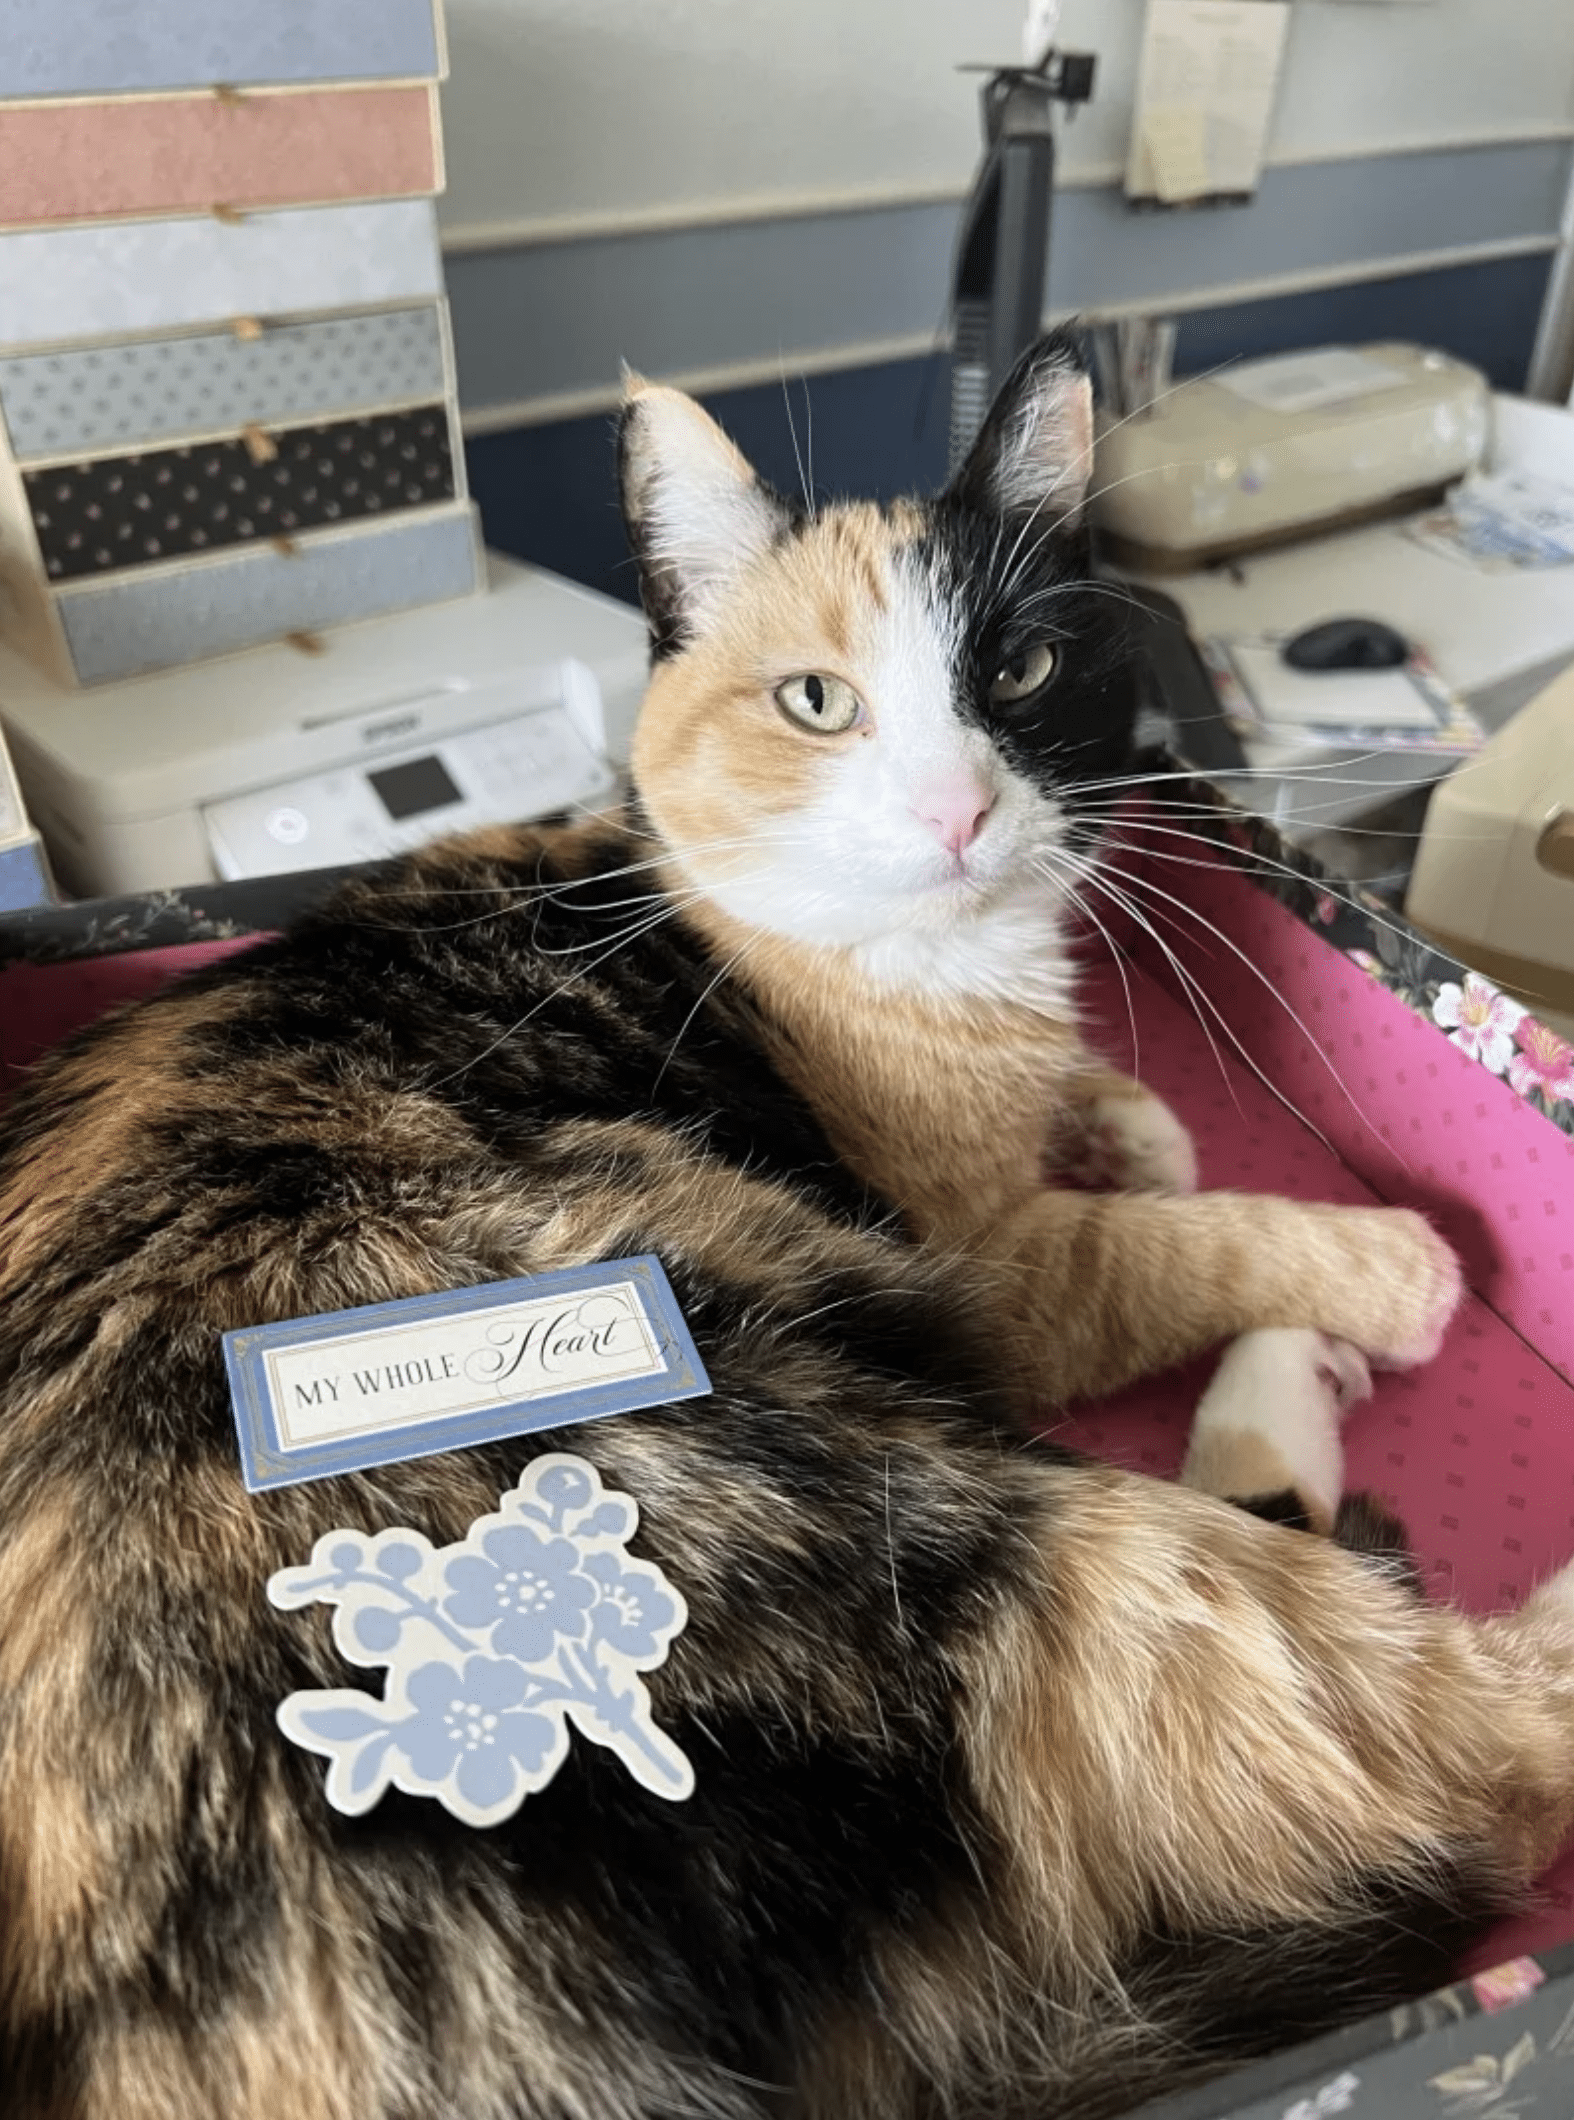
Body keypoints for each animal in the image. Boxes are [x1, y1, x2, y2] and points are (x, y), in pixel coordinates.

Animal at [3, 339, 1574, 2120]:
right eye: (817, 701)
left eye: (1023, 665)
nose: (959, 811)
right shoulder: (992, 1264)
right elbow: (1182, 1242)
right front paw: (1381, 1256)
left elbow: (1099, 1113)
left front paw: (1135, 1120)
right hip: (947, 1522)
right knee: (1467, 1741)